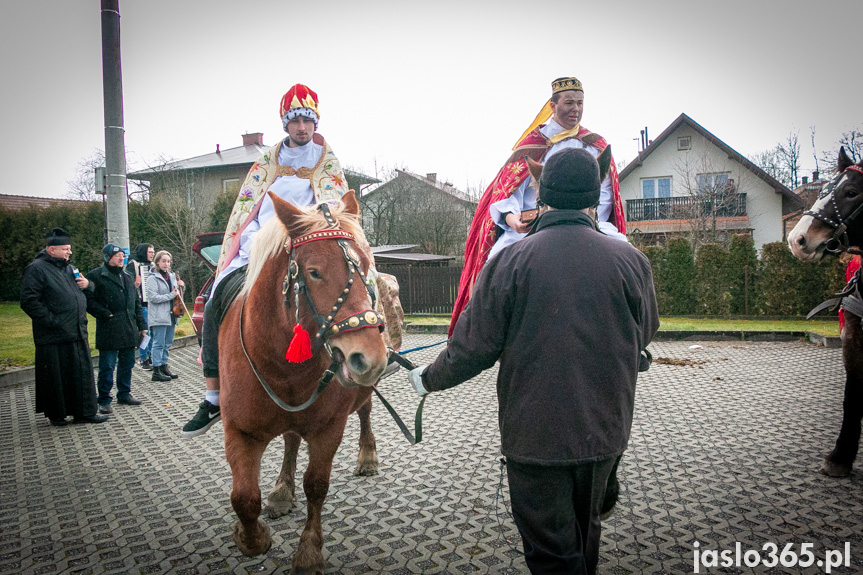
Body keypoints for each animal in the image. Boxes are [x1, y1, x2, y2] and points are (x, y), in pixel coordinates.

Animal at [219, 191, 388, 572]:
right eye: (314, 272)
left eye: (367, 265)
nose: (368, 357)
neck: (283, 367)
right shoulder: (240, 431)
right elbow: (244, 498)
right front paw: (251, 536)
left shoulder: (328, 429)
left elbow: (317, 486)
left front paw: (309, 552)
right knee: (291, 439)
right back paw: (282, 490)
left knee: (365, 411)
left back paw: (367, 456)